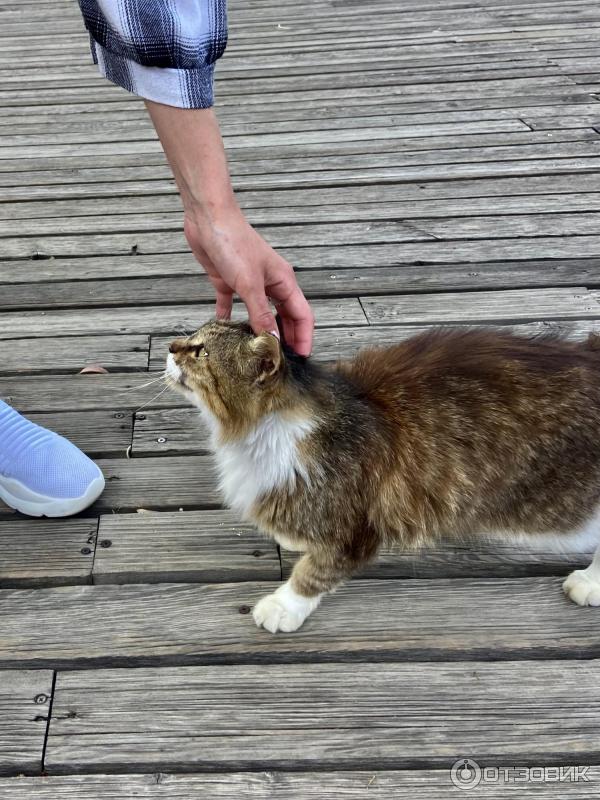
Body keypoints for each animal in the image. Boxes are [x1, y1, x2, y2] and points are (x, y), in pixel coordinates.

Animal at [165, 318, 600, 632]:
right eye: (193, 337)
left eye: (200, 351)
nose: (170, 347)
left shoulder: (356, 529)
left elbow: (314, 572)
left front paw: (282, 607)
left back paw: (589, 583)